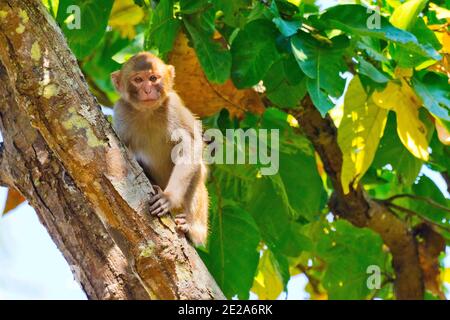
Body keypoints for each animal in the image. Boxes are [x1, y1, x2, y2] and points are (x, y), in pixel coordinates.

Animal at [112, 52, 211, 246]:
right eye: (138, 80)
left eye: (153, 78)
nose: (147, 90)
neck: (147, 112)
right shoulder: (120, 112)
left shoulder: (173, 106)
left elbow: (191, 145)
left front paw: (168, 197)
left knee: (196, 171)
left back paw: (193, 230)